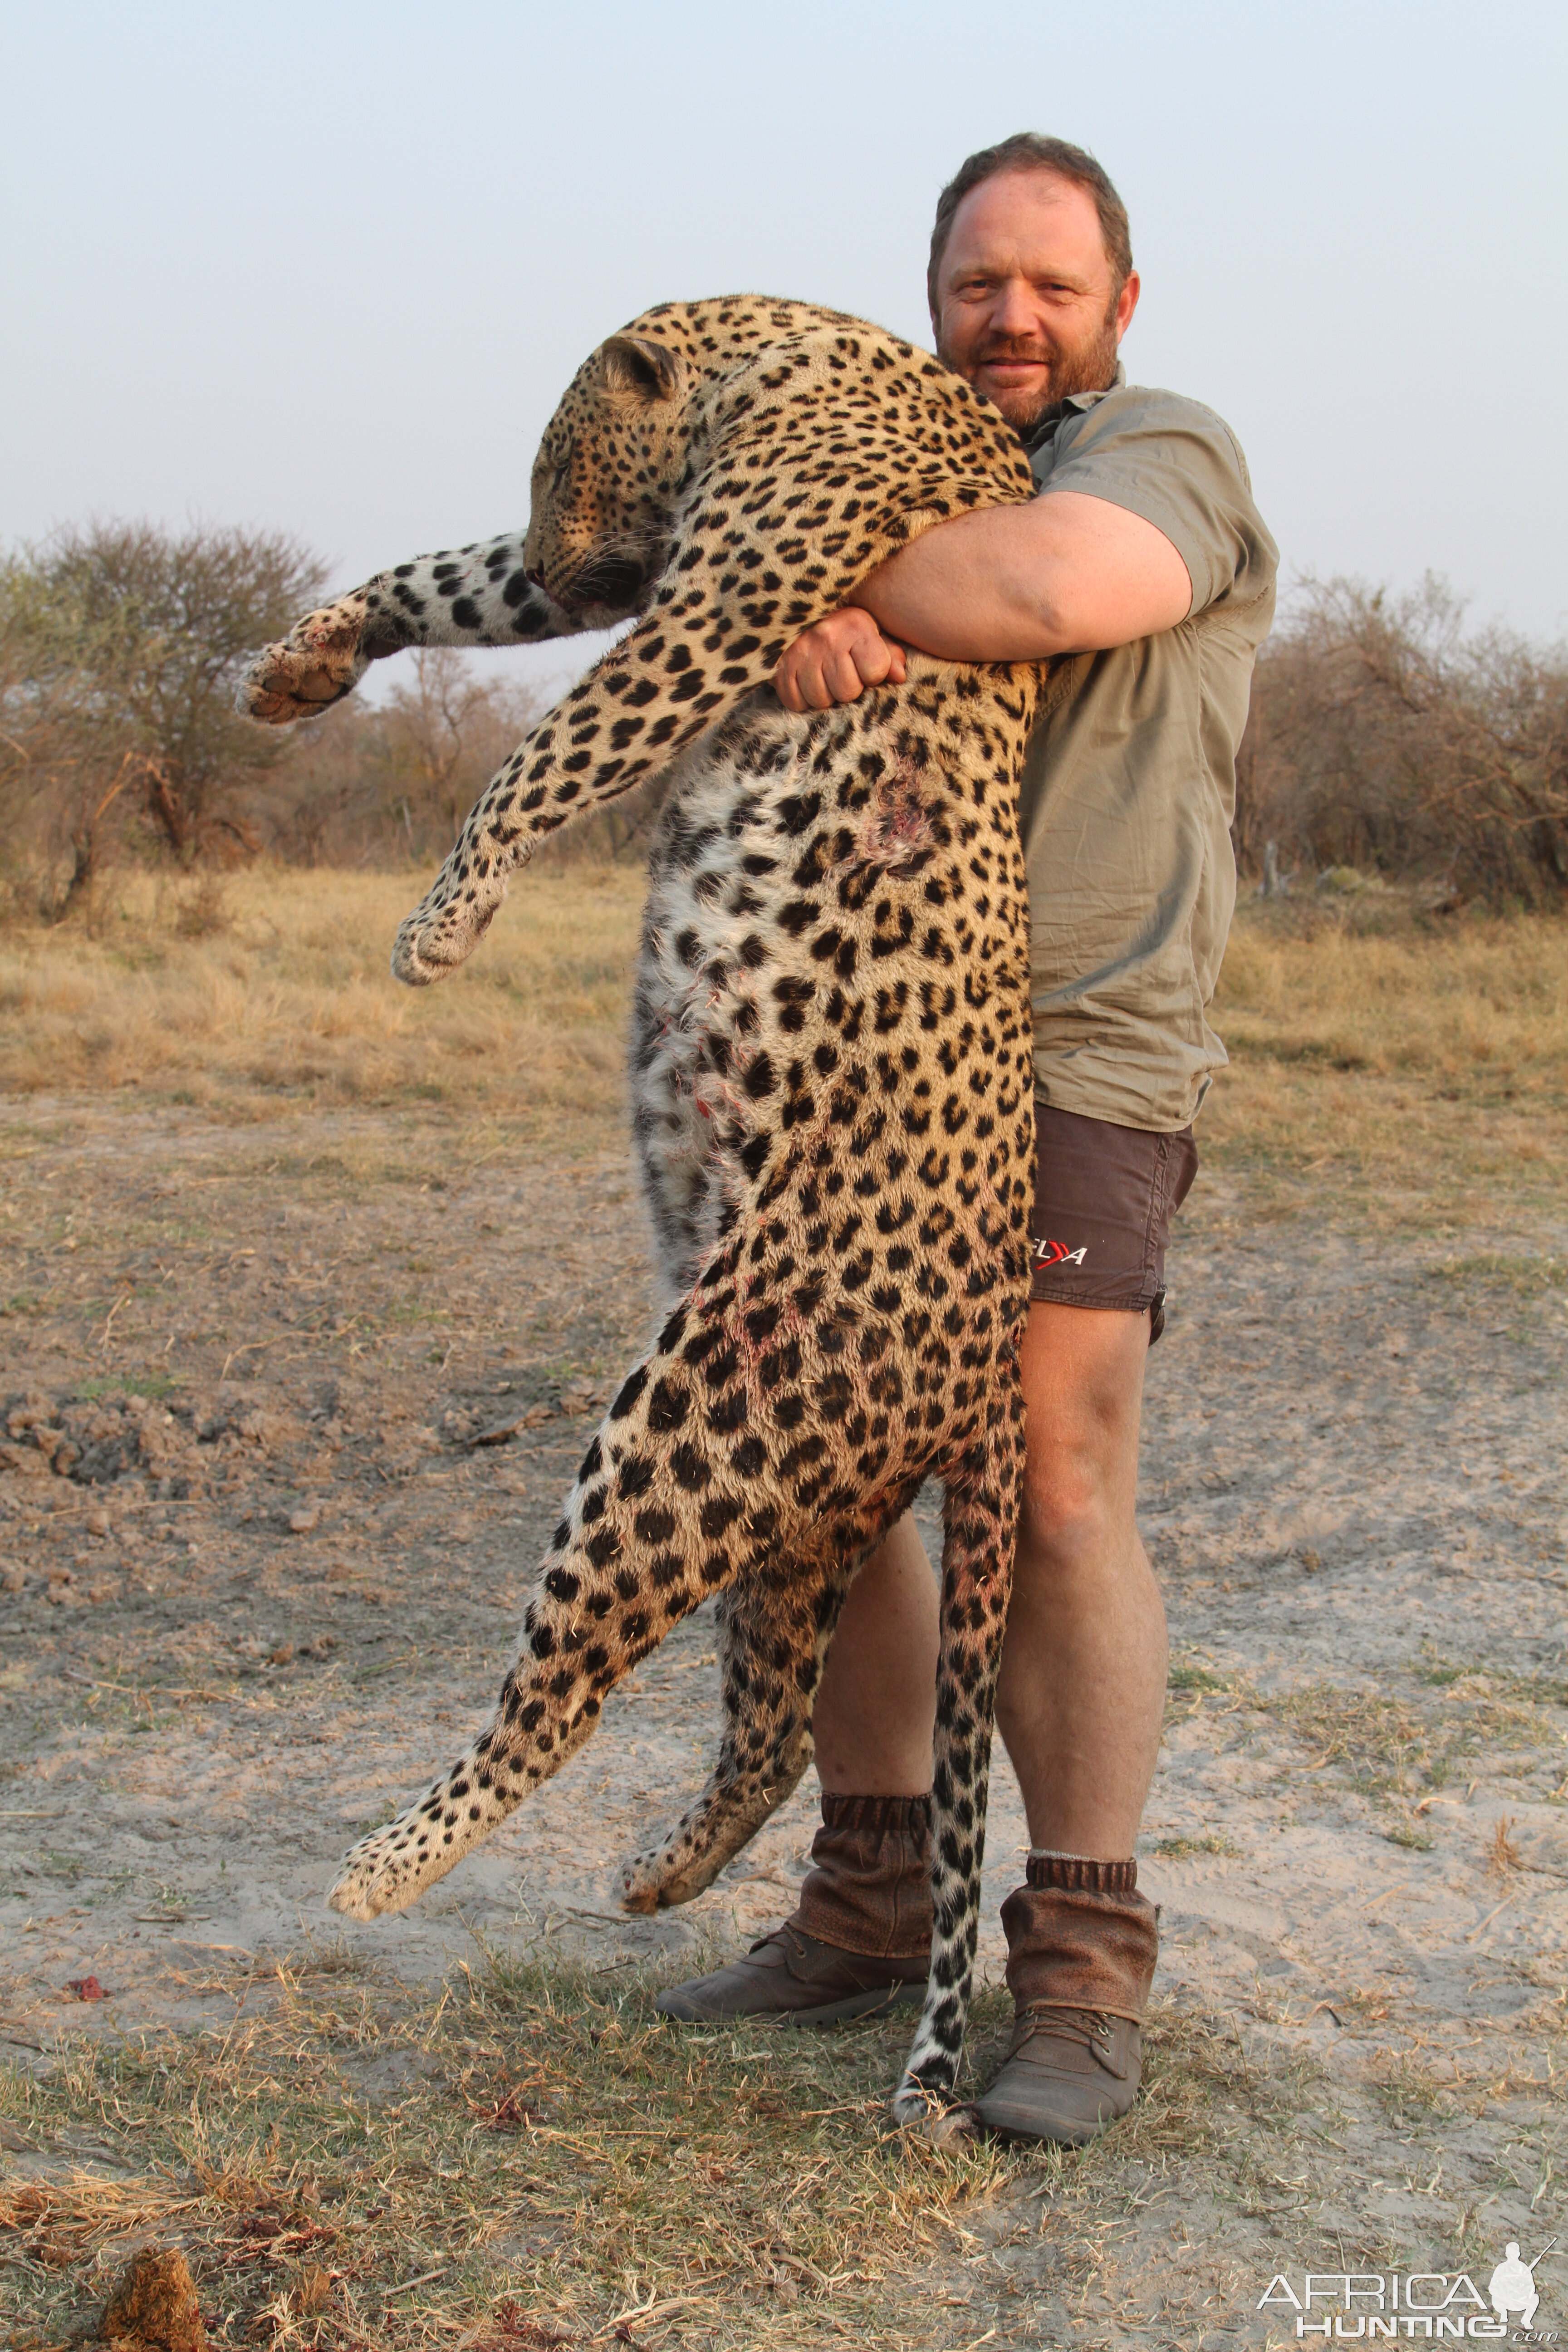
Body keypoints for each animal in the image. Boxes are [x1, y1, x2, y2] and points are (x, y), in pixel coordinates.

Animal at [245, 299, 1053, 2136]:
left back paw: (383, 1867)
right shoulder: (635, 582)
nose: (564, 548)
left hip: (689, 1420)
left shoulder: (710, 613)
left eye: (558, 455)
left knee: (567, 1682)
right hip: (801, 1497)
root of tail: (994, 1343)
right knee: (774, 1720)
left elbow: (549, 751)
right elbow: (448, 579)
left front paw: (440, 924)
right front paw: (301, 664)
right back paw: (659, 1878)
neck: (796, 359)